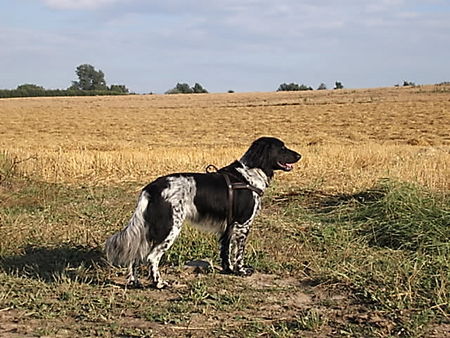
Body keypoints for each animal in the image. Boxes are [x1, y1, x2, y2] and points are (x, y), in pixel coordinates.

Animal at [107, 137, 300, 288]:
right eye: (282, 147)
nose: (300, 155)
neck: (249, 175)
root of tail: (151, 187)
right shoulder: (243, 224)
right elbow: (238, 253)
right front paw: (241, 270)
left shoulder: (229, 226)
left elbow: (226, 252)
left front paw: (229, 270)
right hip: (169, 228)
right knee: (152, 257)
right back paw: (159, 283)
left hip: (151, 229)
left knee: (135, 254)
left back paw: (134, 282)